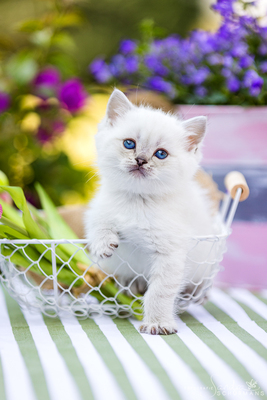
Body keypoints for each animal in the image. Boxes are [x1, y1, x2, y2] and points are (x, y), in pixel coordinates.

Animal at [86, 90, 216, 334]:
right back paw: (130, 284)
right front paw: (102, 244)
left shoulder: (170, 254)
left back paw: (198, 293)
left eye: (161, 154)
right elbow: (98, 222)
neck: (138, 201)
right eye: (129, 143)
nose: (140, 160)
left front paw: (158, 323)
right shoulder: (100, 207)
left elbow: (159, 292)